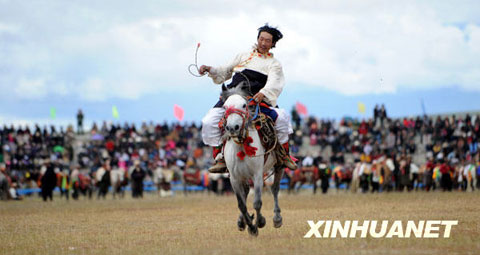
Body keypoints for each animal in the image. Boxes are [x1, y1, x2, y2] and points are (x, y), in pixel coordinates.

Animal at [221, 84, 284, 237]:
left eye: (244, 105)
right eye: (225, 107)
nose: (232, 128)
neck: (241, 146)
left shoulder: (257, 175)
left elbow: (257, 202)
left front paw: (259, 222)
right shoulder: (234, 178)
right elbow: (241, 204)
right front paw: (249, 225)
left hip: (278, 166)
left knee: (275, 188)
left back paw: (277, 218)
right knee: (245, 192)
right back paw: (242, 221)